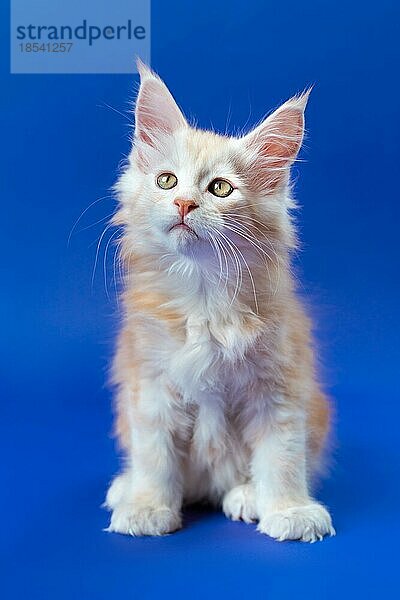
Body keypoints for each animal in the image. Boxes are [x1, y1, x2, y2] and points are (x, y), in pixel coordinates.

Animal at [104, 62, 336, 544]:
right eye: (167, 180)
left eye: (220, 188)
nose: (183, 203)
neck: (203, 295)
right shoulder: (149, 384)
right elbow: (154, 455)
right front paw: (147, 505)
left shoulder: (279, 386)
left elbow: (282, 456)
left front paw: (289, 510)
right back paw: (126, 487)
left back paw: (246, 496)